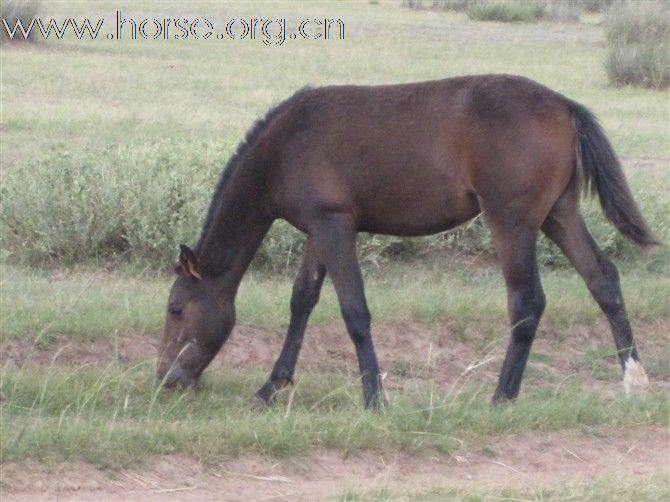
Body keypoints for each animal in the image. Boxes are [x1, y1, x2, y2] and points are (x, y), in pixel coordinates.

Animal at [156, 74, 656, 406]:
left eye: (176, 308)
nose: (164, 379)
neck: (283, 148)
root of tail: (564, 106)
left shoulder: (336, 228)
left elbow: (354, 311)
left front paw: (375, 397)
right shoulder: (319, 230)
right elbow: (302, 302)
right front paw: (270, 388)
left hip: (511, 223)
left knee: (528, 301)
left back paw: (502, 396)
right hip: (560, 214)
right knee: (603, 280)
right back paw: (634, 379)